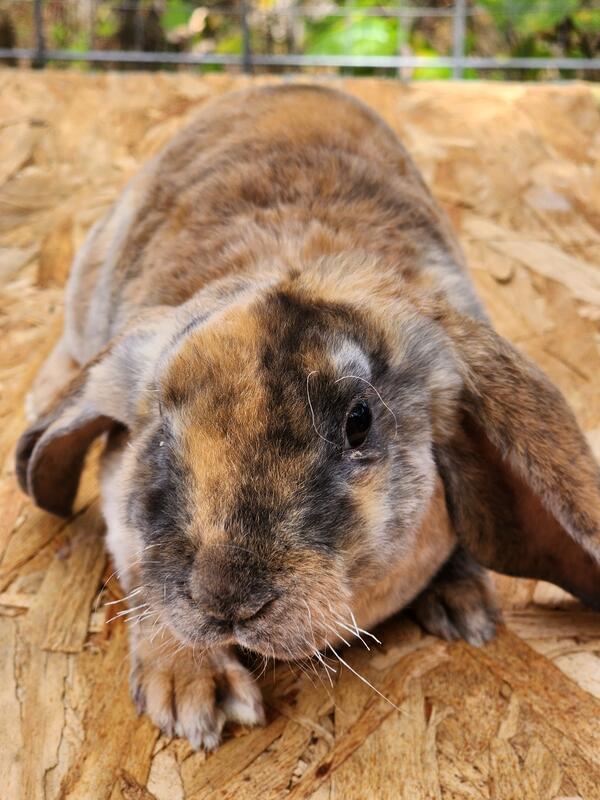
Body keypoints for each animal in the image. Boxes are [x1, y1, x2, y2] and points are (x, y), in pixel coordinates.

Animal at [16, 84, 600, 751]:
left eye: (359, 421)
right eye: (160, 432)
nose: (225, 598)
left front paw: (467, 609)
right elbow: (143, 581)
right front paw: (194, 692)